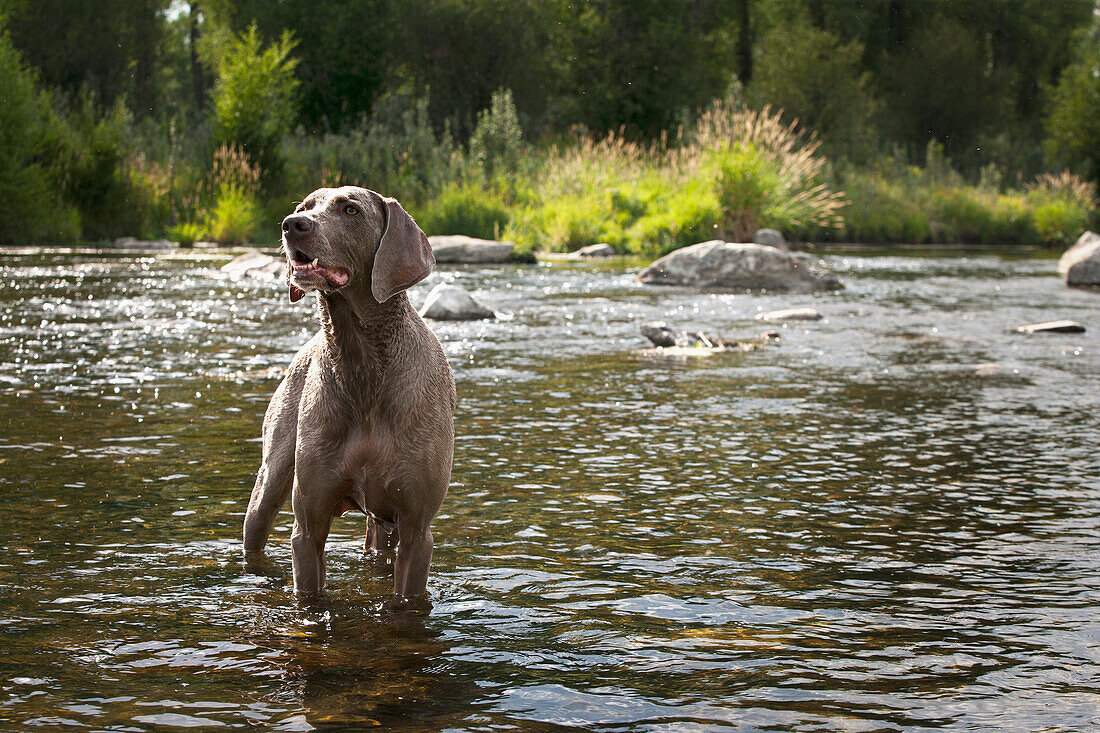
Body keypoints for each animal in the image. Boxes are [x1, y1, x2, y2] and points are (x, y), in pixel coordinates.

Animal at [244, 183, 455, 598]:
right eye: (304, 207)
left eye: (351, 210)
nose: (292, 225)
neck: (362, 368)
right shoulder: (308, 526)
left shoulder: (417, 527)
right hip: (272, 473)